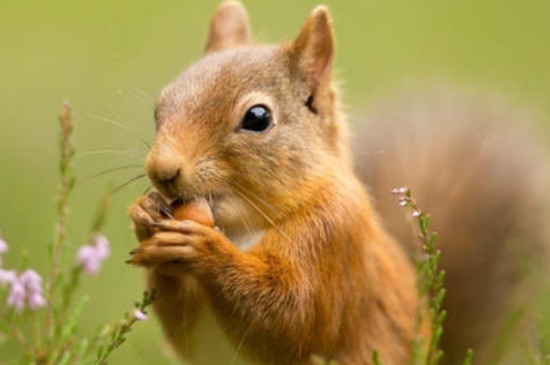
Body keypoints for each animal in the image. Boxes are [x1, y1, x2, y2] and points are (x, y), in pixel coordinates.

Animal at [128, 1, 548, 362]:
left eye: (258, 118)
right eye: (160, 106)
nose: (161, 170)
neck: (242, 227)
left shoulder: (333, 238)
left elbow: (290, 317)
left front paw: (203, 249)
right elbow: (183, 331)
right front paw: (145, 216)